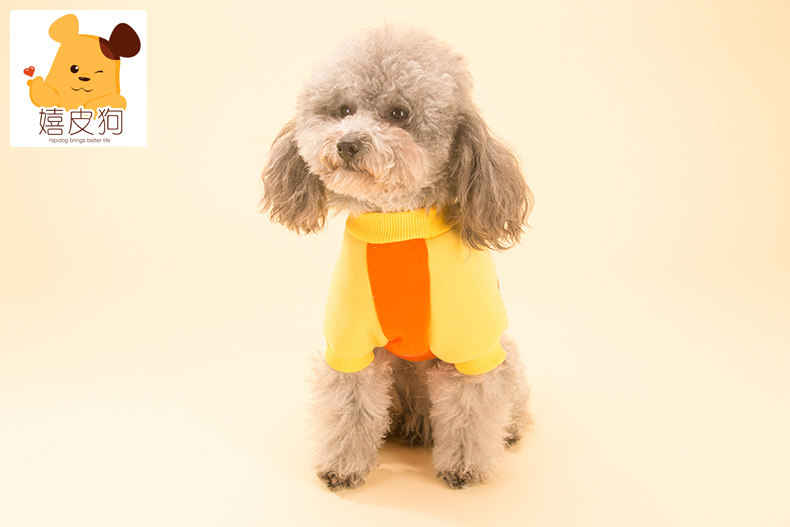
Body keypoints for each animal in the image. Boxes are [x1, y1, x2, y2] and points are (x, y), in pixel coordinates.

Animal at [260, 26, 534, 490]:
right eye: (343, 109)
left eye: (399, 113)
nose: (348, 143)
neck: (397, 226)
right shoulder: (350, 343)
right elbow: (349, 404)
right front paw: (342, 465)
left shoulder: (472, 348)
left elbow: (471, 407)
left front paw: (464, 466)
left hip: (504, 351)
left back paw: (509, 429)